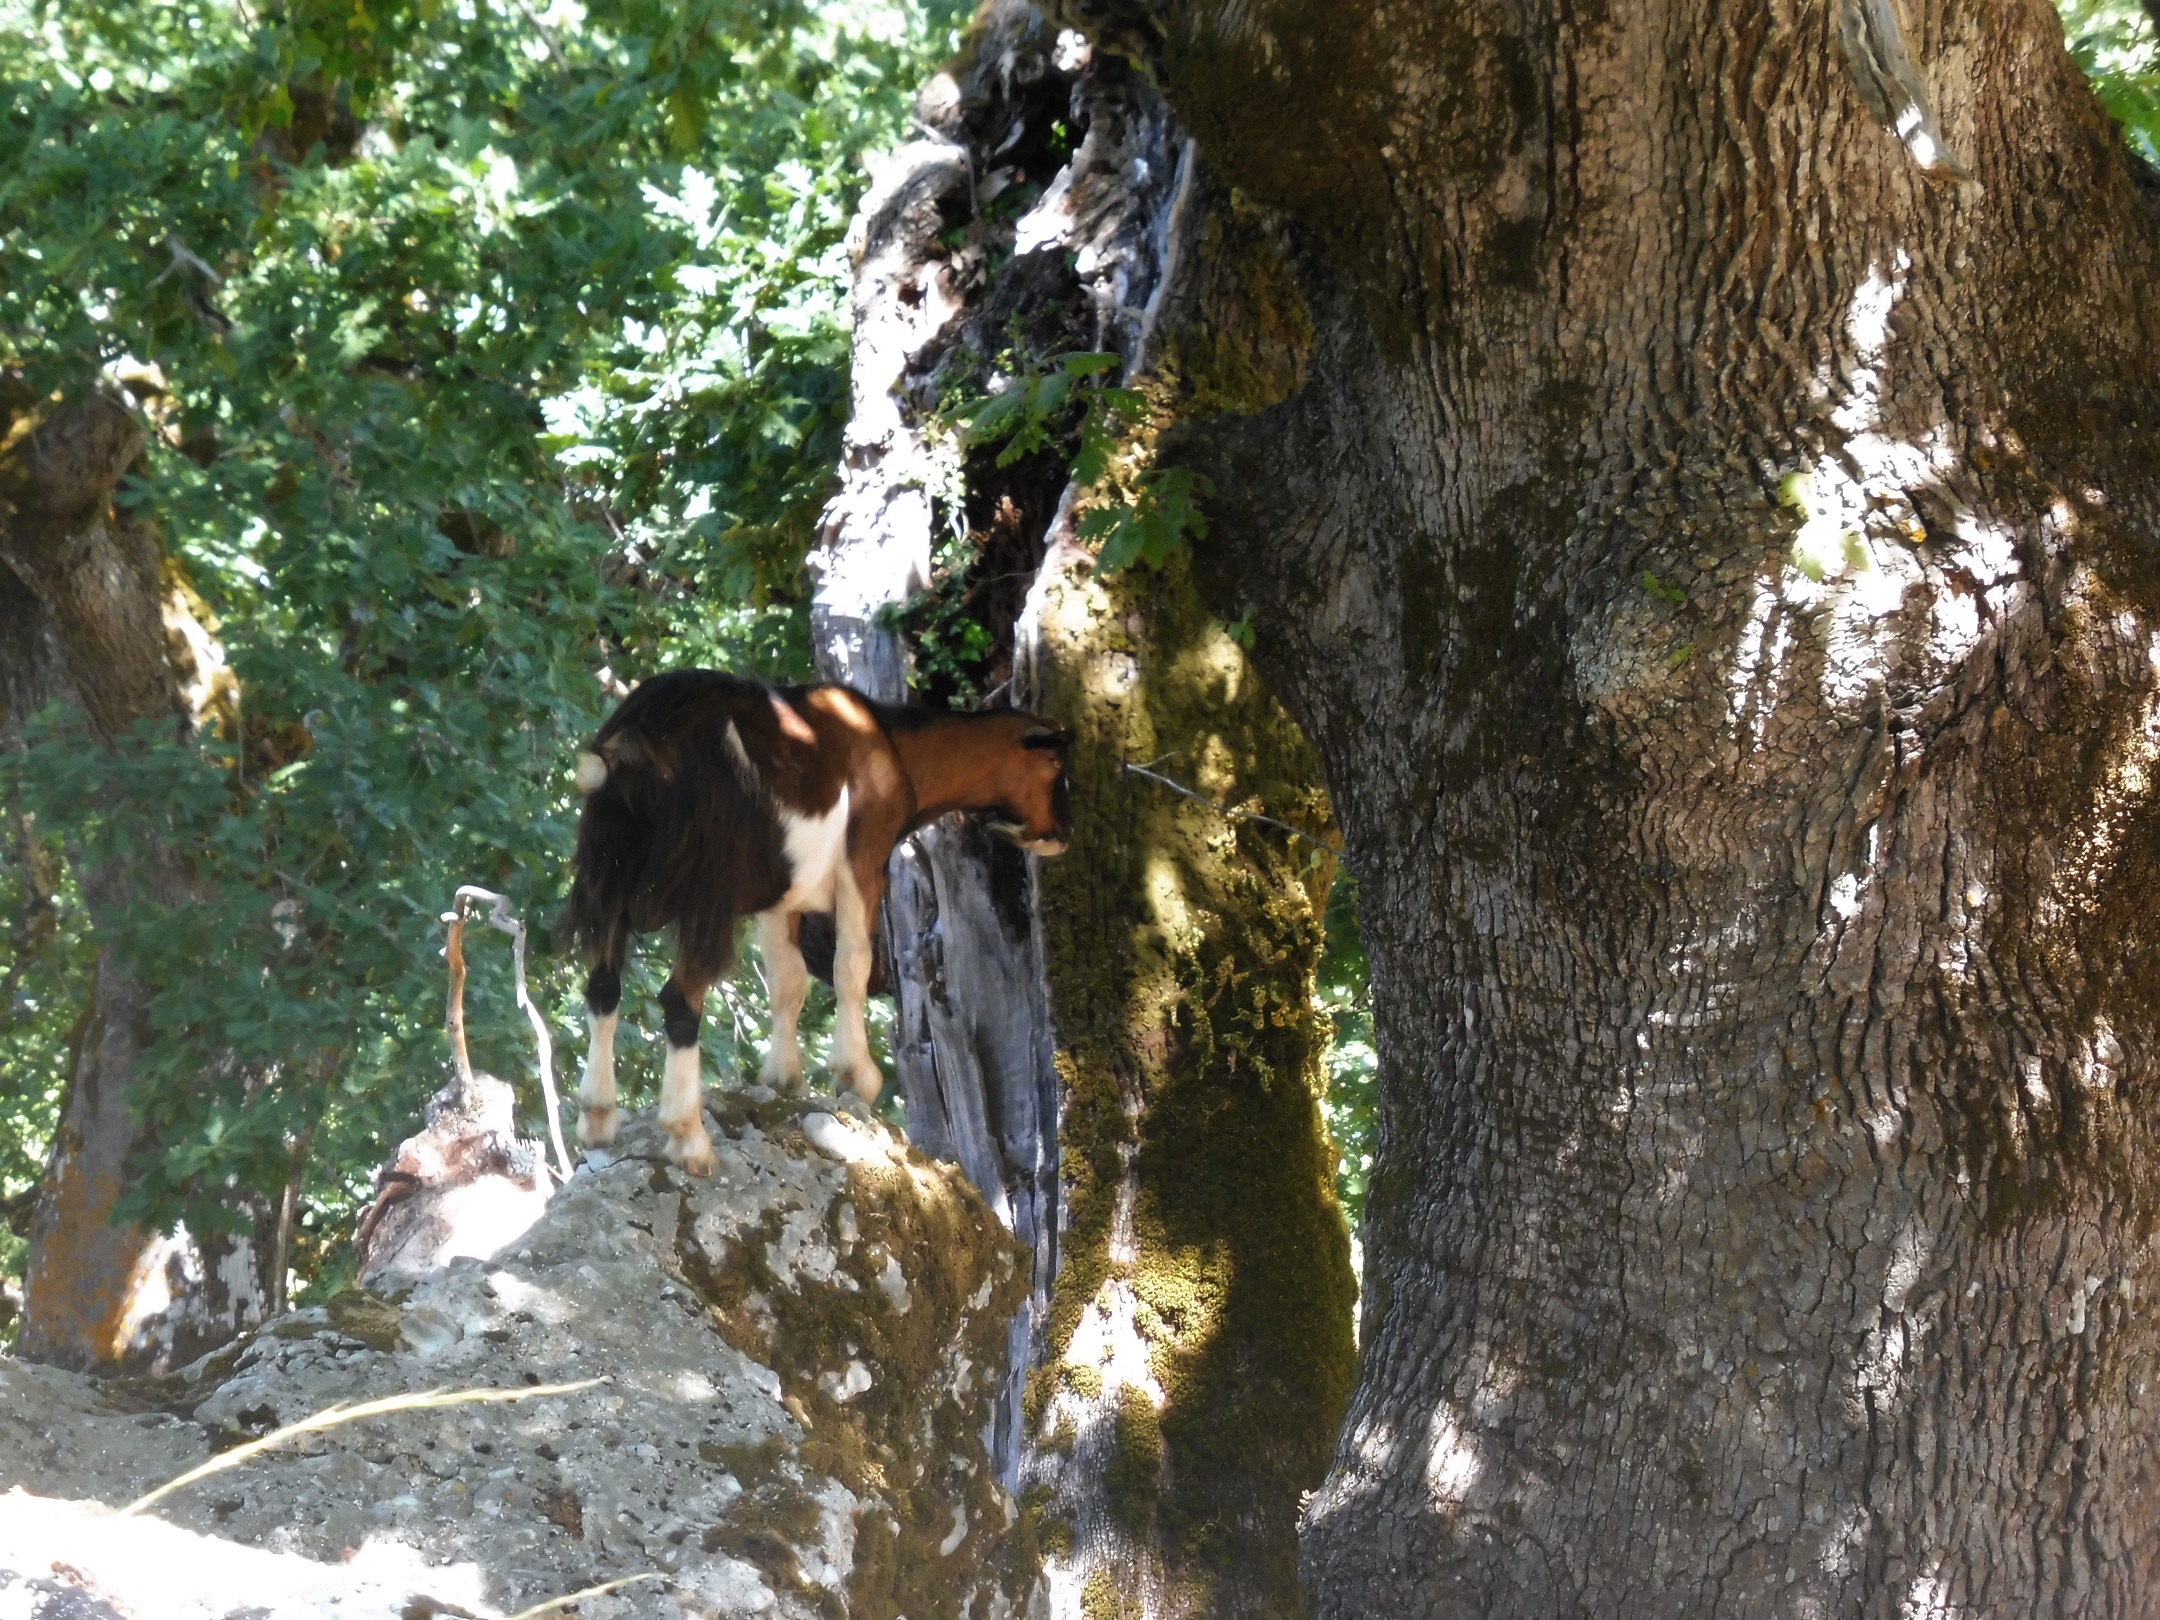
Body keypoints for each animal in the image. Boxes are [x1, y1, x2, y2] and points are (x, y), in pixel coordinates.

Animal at [557, 673, 1062, 1183]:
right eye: (1056, 765)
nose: (1060, 833)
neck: (892, 745)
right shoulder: (862, 861)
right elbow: (851, 966)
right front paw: (858, 1076)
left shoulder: (780, 897)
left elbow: (788, 982)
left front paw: (783, 1077)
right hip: (706, 893)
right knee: (680, 999)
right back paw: (688, 1138)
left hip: (607, 881)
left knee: (602, 988)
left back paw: (597, 1119)